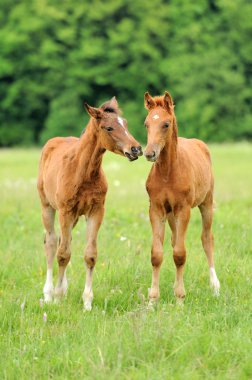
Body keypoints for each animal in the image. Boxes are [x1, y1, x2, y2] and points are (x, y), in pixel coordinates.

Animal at [38, 96, 143, 310]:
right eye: (109, 128)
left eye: (125, 124)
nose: (136, 149)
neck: (83, 172)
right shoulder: (65, 211)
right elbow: (63, 254)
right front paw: (58, 298)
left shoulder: (96, 211)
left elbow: (90, 254)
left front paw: (87, 302)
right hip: (48, 207)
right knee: (52, 243)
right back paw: (49, 293)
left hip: (74, 217)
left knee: (63, 241)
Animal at [144, 90, 220, 302]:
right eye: (146, 124)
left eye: (166, 124)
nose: (149, 153)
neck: (167, 174)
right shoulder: (156, 209)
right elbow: (157, 254)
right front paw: (153, 299)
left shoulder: (184, 210)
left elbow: (179, 254)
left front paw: (180, 298)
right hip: (171, 214)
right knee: (174, 239)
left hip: (206, 203)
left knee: (207, 238)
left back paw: (215, 286)